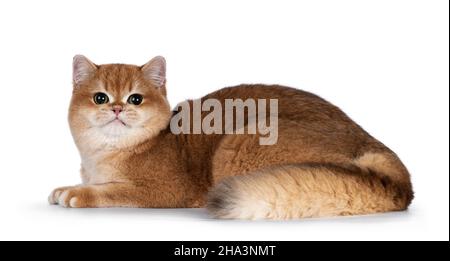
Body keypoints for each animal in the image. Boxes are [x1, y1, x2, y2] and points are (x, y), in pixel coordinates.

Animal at [47, 55, 414, 219]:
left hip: (237, 143)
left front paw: (76, 193)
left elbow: (112, 192)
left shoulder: (165, 189)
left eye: (135, 98)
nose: (117, 109)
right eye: (100, 97)